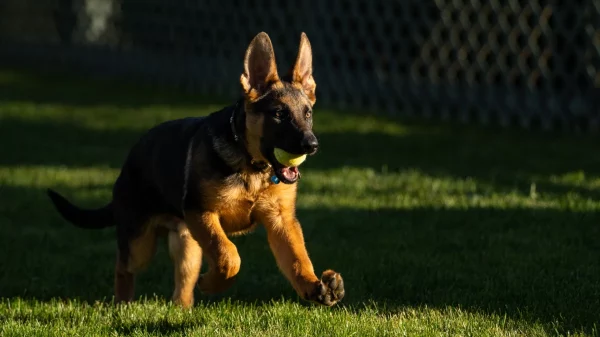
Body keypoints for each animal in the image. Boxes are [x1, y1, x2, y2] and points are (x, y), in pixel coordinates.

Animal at [46, 32, 344, 308]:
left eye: (308, 113)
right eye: (279, 114)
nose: (312, 145)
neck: (252, 167)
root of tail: (130, 159)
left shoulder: (281, 221)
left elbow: (297, 258)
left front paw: (314, 286)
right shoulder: (202, 212)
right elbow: (229, 254)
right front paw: (213, 284)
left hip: (187, 243)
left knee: (183, 282)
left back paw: (182, 308)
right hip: (141, 241)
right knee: (124, 266)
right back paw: (122, 304)